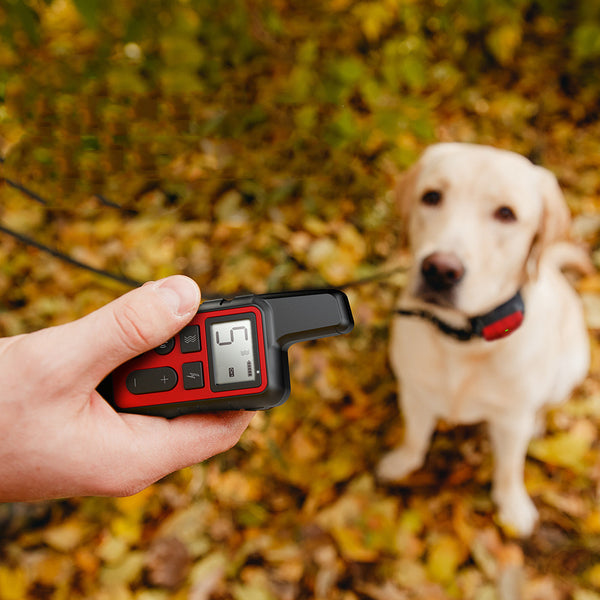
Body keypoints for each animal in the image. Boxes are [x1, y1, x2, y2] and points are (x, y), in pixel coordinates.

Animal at [380, 143, 592, 536]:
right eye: (431, 197)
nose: (440, 270)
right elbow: (415, 437)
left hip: (571, 369)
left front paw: (513, 506)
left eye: (506, 214)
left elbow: (509, 468)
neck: (464, 340)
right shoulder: (414, 395)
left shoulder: (510, 420)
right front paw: (402, 463)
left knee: (545, 405)